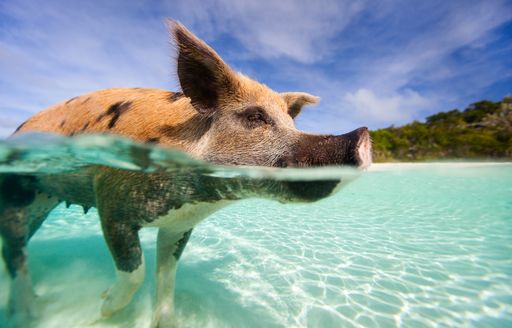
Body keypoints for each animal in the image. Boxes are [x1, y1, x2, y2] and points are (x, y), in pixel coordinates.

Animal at [0, 21, 370, 328]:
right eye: (254, 117)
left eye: (291, 123)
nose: (362, 135)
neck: (200, 196)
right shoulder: (110, 203)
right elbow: (135, 271)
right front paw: (101, 309)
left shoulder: (179, 225)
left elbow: (167, 275)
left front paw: (165, 322)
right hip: (17, 192)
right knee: (15, 251)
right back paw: (30, 313)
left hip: (43, 201)